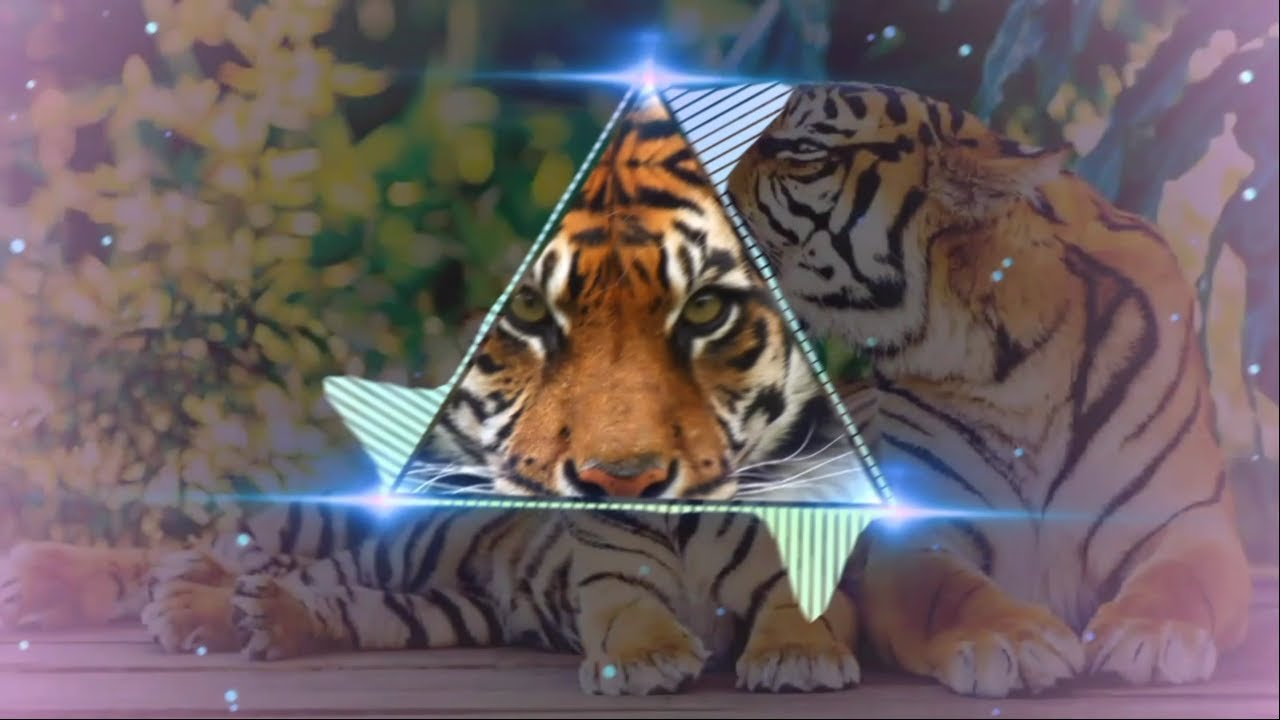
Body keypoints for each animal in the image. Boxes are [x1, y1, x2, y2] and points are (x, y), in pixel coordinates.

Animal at [0, 92, 877, 696]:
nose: (620, 470)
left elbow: (801, 611)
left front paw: (797, 657)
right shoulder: (610, 584)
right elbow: (630, 615)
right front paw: (650, 660)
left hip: (438, 599)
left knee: (321, 592)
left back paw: (223, 610)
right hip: (365, 527)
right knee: (207, 546)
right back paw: (123, 586)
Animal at [725, 81, 1254, 699]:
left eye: (803, 149)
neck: (1012, 362)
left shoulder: (1188, 520)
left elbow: (1182, 578)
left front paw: (1153, 632)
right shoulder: (917, 534)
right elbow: (949, 595)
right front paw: (1014, 641)